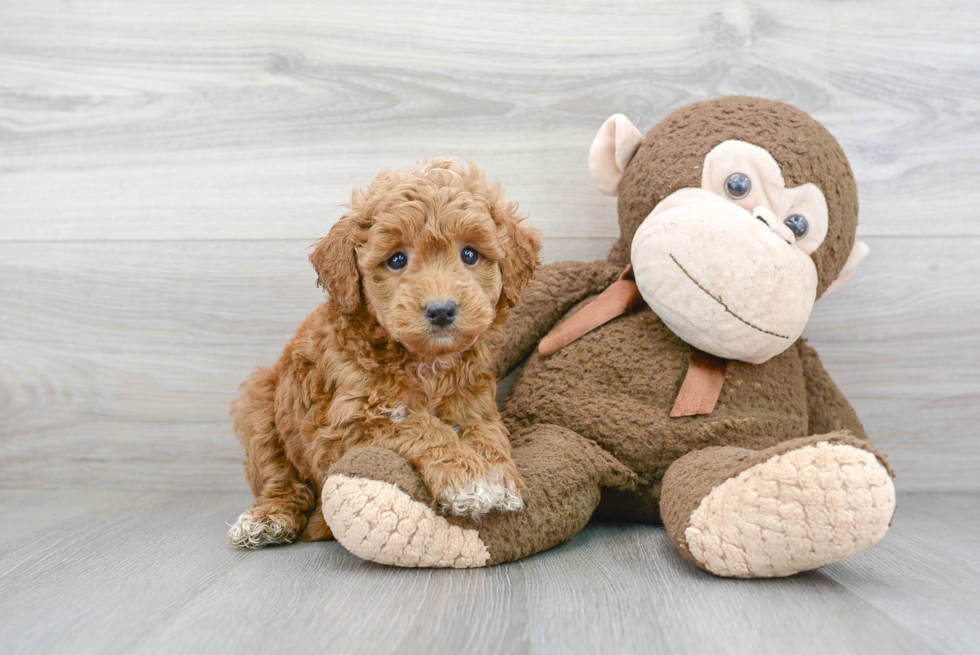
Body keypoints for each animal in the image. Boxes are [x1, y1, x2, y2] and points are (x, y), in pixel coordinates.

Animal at [228, 158, 544, 548]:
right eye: (396, 260)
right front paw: (470, 480)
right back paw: (267, 519)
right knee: (280, 479)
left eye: (470, 254)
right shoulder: (344, 427)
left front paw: (498, 479)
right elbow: (419, 426)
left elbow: (487, 434)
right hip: (259, 406)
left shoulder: (476, 404)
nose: (441, 310)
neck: (426, 362)